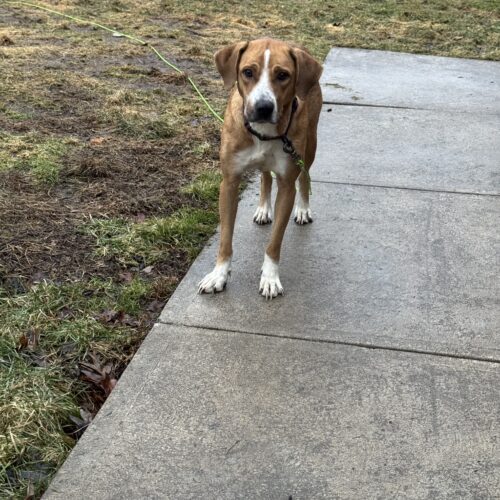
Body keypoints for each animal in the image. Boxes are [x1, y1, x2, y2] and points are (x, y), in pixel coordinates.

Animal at [198, 38, 322, 299]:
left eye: (283, 75)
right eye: (247, 72)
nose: (263, 107)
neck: (263, 134)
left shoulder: (287, 186)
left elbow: (274, 242)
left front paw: (270, 277)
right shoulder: (229, 182)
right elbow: (225, 237)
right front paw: (219, 274)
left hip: (309, 146)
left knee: (305, 176)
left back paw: (303, 208)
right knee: (265, 175)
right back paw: (264, 208)